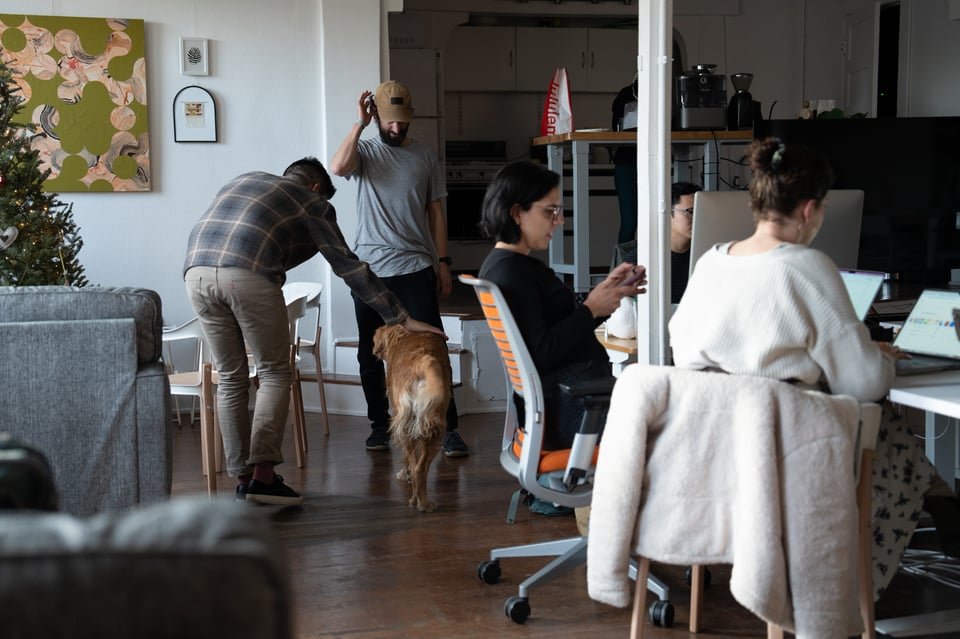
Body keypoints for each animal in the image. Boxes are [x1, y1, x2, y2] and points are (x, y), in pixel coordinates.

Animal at [374, 328, 452, 512]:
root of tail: (423, 361)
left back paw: (417, 500)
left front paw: (404, 473)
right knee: (420, 469)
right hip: (434, 427)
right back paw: (423, 502)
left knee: (414, 462)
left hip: (405, 423)